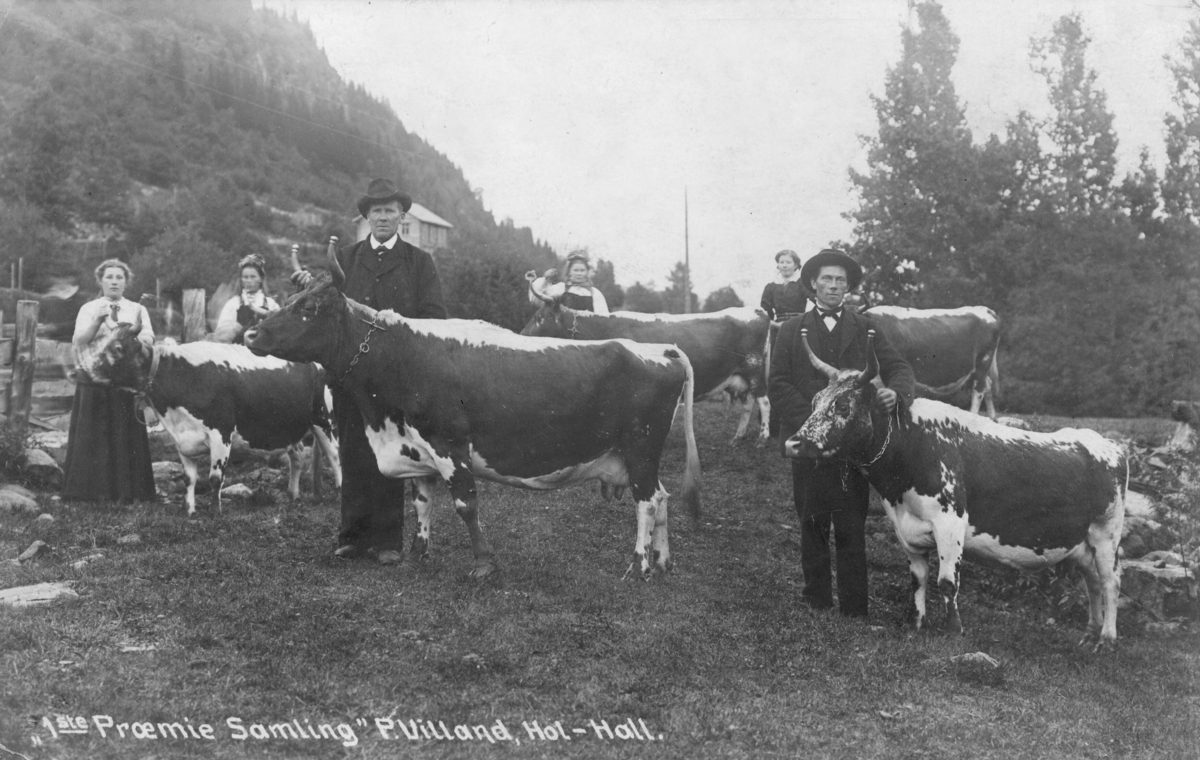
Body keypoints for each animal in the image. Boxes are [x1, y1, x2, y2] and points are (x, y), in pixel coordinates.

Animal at [78, 319, 343, 516]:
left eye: (117, 348)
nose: (78, 371)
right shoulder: (182, 440)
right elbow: (189, 478)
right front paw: (188, 510)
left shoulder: (221, 433)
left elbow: (215, 478)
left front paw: (215, 512)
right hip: (291, 426)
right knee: (296, 456)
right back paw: (293, 495)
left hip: (323, 421)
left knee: (335, 455)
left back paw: (340, 490)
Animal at [244, 264, 700, 578]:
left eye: (308, 306)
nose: (250, 335)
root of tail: (661, 349)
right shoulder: (419, 450)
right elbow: (422, 502)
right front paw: (417, 554)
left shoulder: (449, 445)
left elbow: (466, 504)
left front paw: (483, 564)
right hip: (638, 455)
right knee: (661, 498)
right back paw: (663, 561)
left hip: (641, 447)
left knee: (647, 502)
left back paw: (639, 565)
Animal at [523, 282, 768, 444]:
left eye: (538, 318)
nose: (521, 333)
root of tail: (755, 310)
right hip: (741, 376)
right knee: (748, 404)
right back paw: (737, 438)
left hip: (755, 370)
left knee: (764, 402)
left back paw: (762, 439)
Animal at [782, 328, 1128, 648]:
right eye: (814, 402)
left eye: (842, 406)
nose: (793, 443)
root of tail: (1108, 443)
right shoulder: (905, 529)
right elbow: (918, 579)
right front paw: (916, 624)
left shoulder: (950, 522)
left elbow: (947, 581)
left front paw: (952, 631)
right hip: (1082, 542)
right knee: (1091, 580)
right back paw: (1089, 633)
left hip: (1106, 534)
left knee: (1111, 581)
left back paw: (1107, 639)